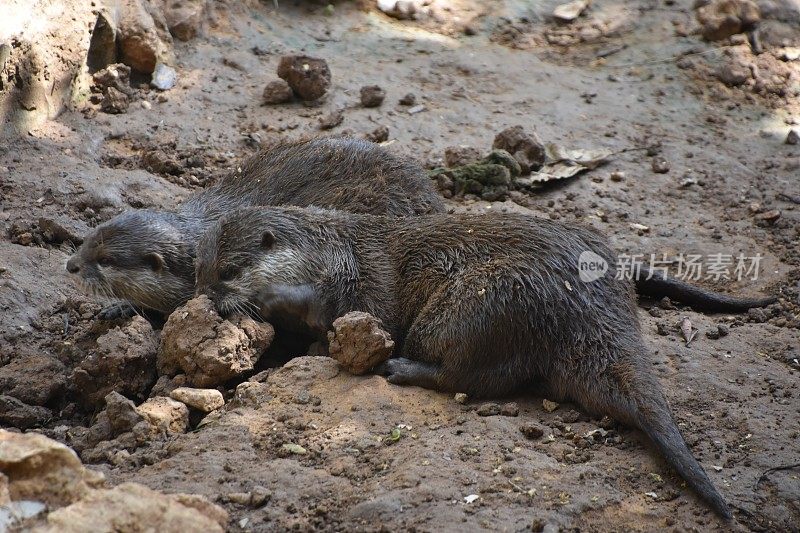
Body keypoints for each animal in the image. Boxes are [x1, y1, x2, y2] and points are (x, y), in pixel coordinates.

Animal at [197, 206, 748, 516]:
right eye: (201, 270)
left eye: (228, 272)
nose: (205, 298)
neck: (330, 250)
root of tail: (590, 307)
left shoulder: (357, 281)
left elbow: (355, 311)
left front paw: (274, 299)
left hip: (480, 304)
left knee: (473, 376)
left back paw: (402, 370)